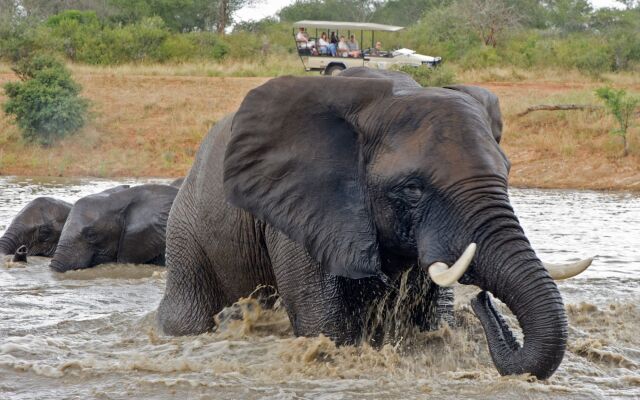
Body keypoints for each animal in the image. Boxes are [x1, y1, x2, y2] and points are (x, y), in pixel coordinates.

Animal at [158, 70, 592, 380]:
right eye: (413, 189)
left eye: (506, 173)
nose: (482, 300)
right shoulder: (303, 210)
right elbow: (327, 329)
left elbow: (432, 321)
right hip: (187, 238)